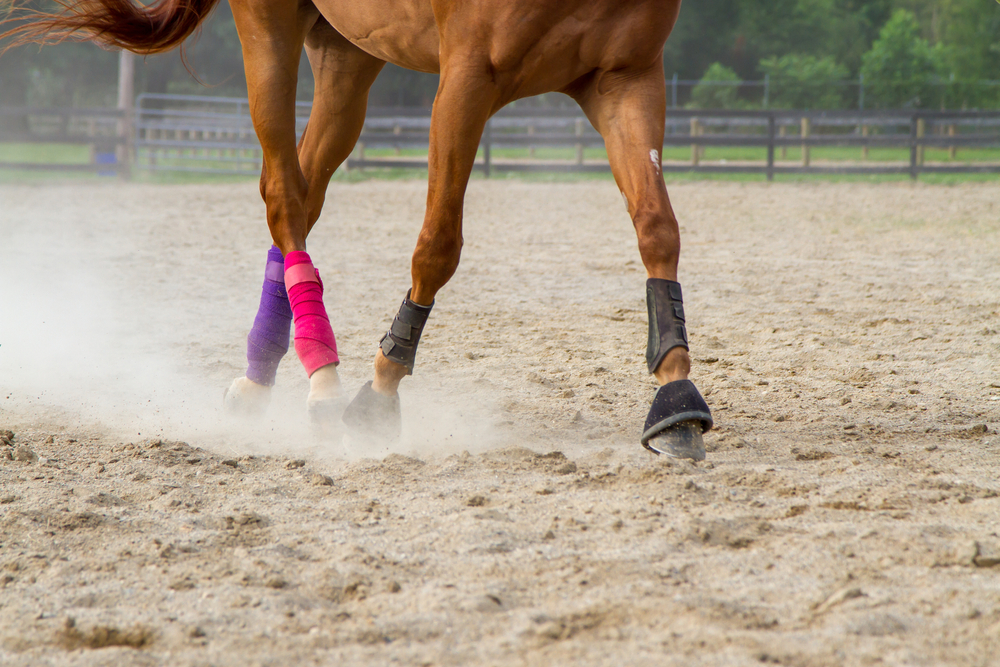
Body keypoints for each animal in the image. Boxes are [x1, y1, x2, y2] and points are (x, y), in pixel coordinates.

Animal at [3, 0, 716, 460]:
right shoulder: (468, 77)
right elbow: (438, 245)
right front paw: (380, 388)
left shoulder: (625, 78)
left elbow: (658, 228)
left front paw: (675, 393)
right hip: (269, 28)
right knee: (284, 197)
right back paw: (322, 378)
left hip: (348, 51)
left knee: (305, 193)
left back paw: (262, 378)